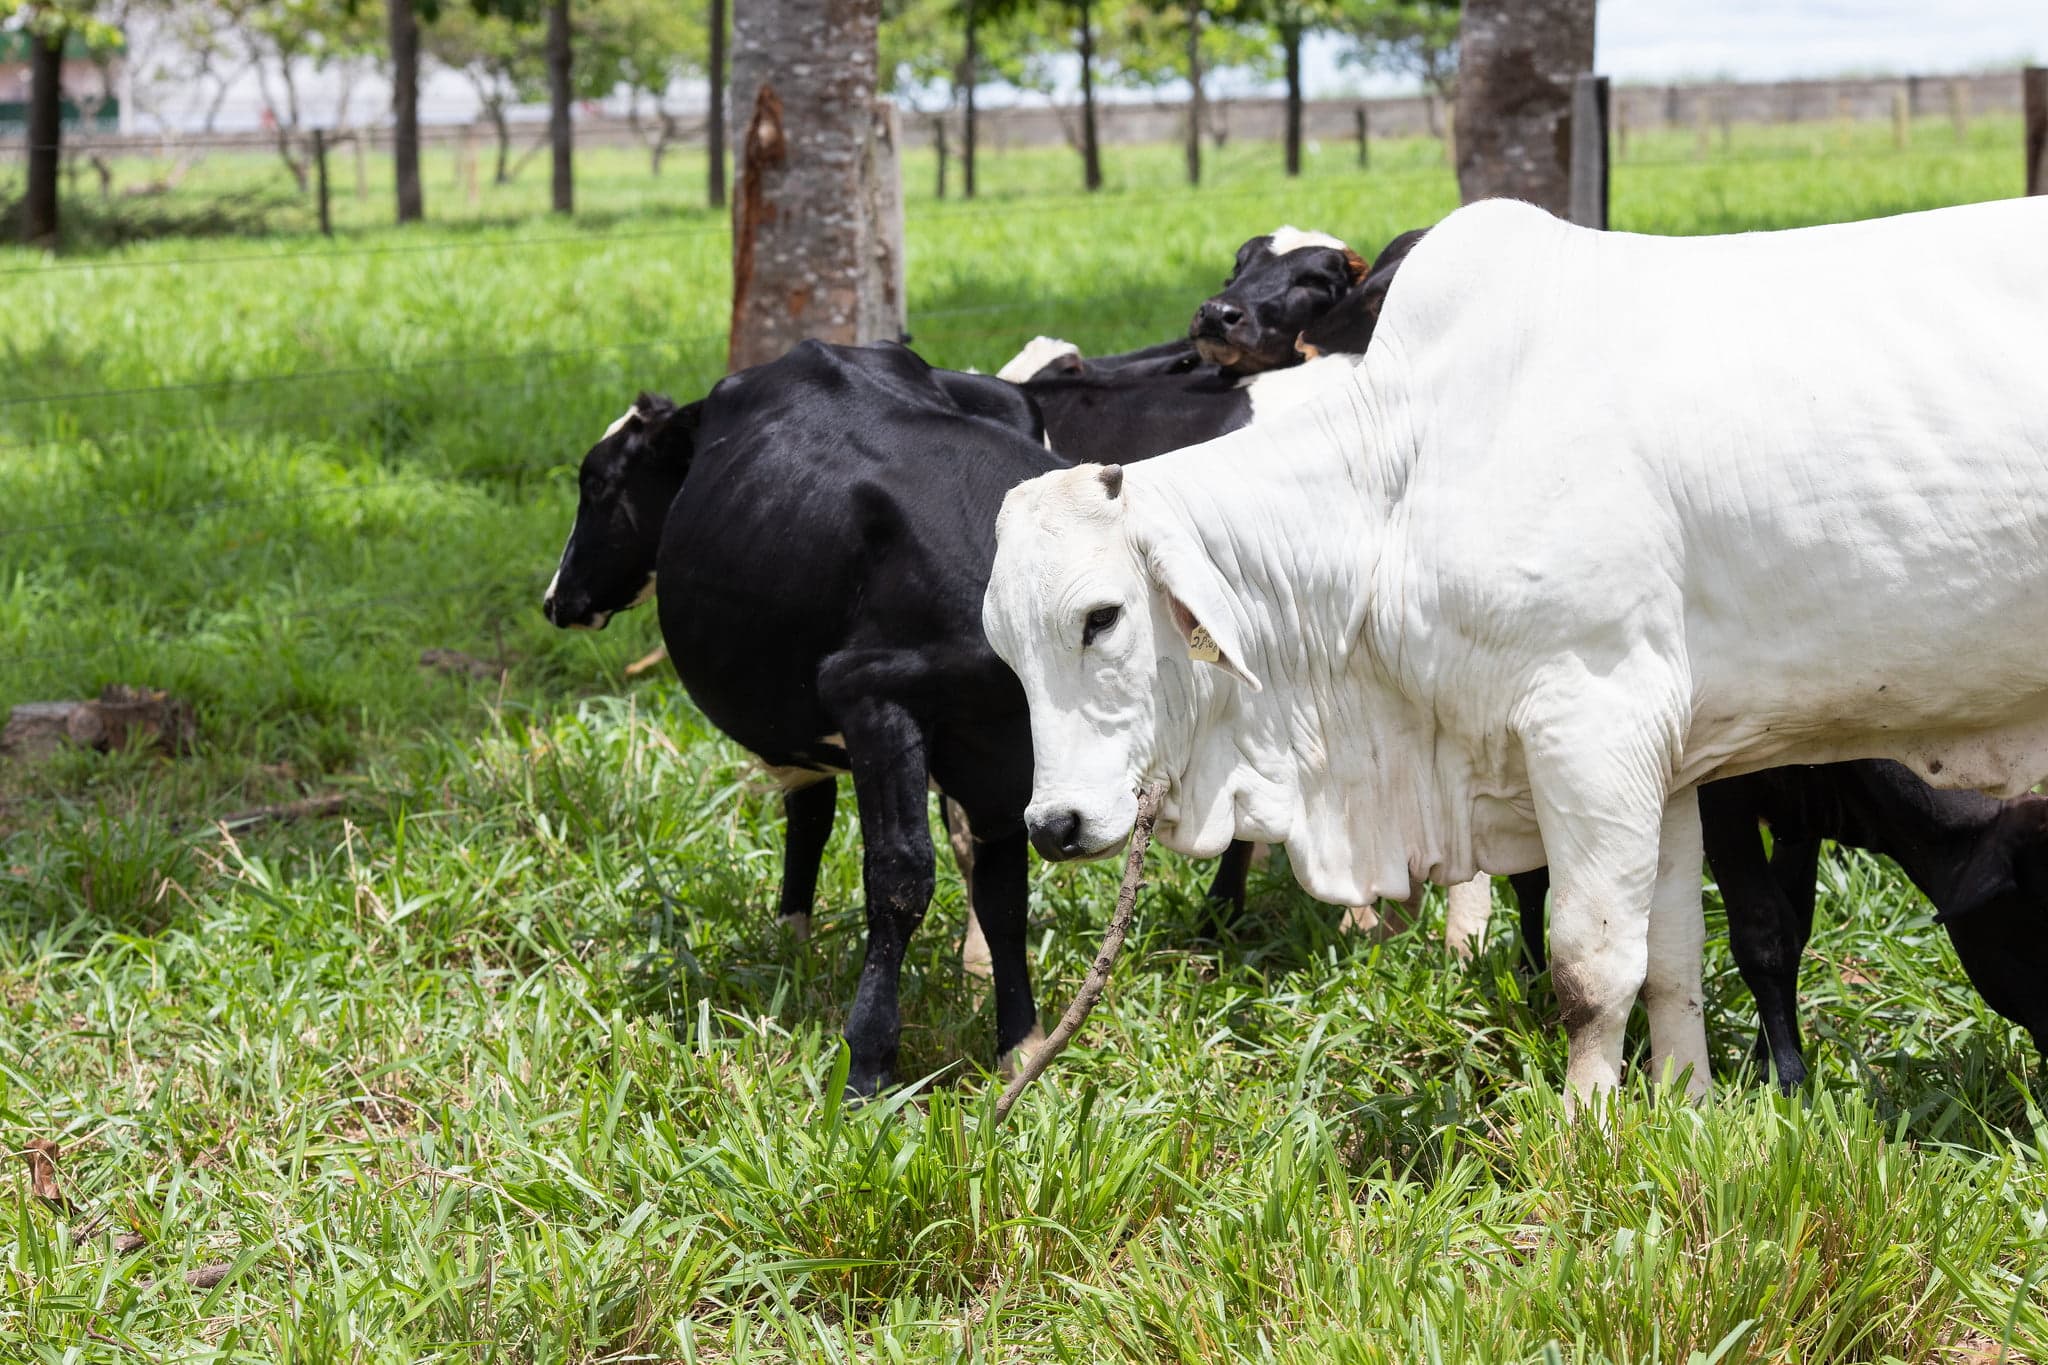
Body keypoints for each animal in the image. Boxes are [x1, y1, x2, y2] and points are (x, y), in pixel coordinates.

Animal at [980, 196, 2048, 1108]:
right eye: (1004, 648)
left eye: (1101, 616)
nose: (1054, 823)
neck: (1402, 477)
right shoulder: (1667, 759)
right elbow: (1672, 954)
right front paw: (1687, 1106)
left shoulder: (1595, 726)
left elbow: (1593, 967)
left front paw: (1589, 1130)